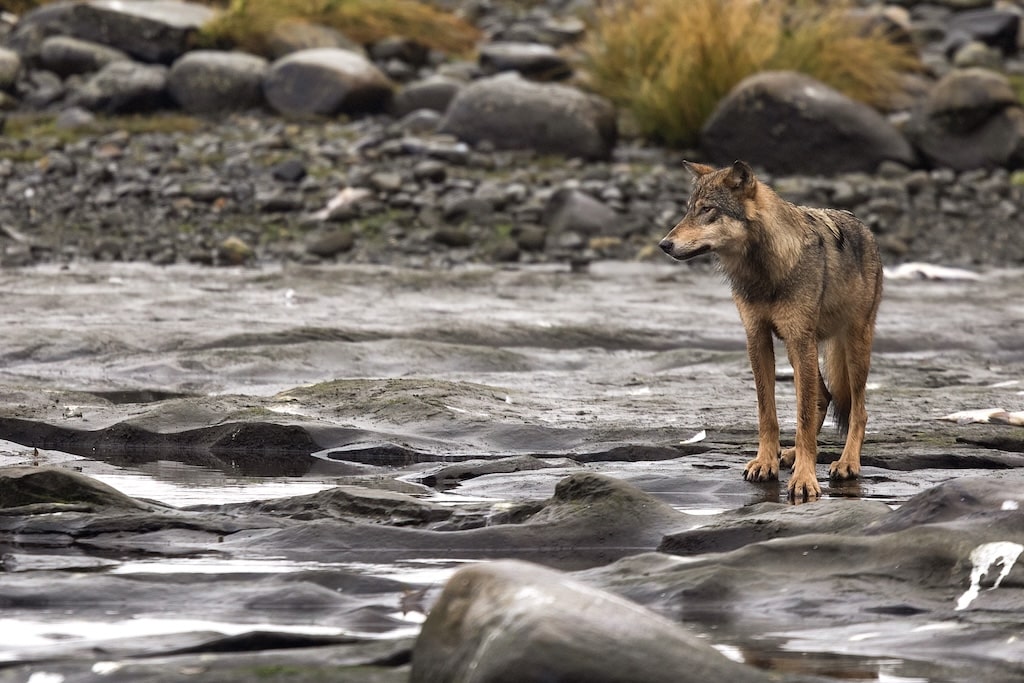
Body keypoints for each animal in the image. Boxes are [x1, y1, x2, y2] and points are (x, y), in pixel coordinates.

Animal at [659, 160, 883, 501]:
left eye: (707, 209)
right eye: (688, 210)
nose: (664, 244)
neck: (763, 271)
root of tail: (864, 227)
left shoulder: (800, 338)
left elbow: (803, 418)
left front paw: (805, 479)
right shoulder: (757, 338)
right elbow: (768, 413)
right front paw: (767, 462)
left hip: (850, 347)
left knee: (859, 409)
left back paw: (847, 462)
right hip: (798, 350)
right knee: (823, 396)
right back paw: (790, 454)